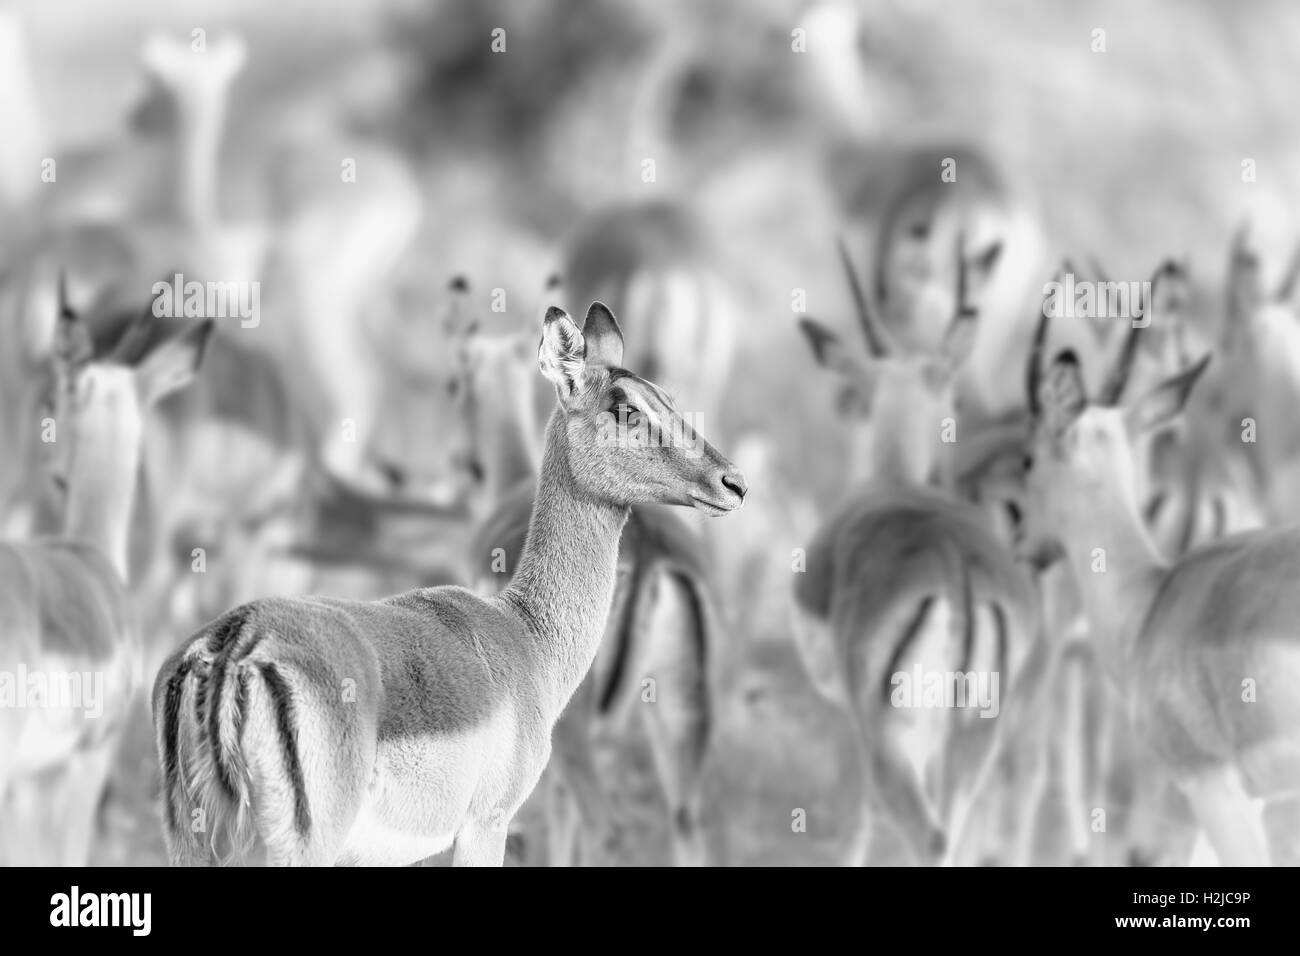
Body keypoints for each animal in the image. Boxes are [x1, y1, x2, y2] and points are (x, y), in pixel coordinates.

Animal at [153, 302, 745, 866]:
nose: (732, 483)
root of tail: (234, 649)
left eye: (668, 397)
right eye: (625, 407)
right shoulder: (487, 823)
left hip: (196, 840)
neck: (525, 634)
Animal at [793, 239, 1039, 866]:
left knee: (927, 834)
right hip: (972, 737)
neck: (896, 479)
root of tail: (957, 573)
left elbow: (857, 819)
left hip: (894, 737)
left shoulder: (854, 719)